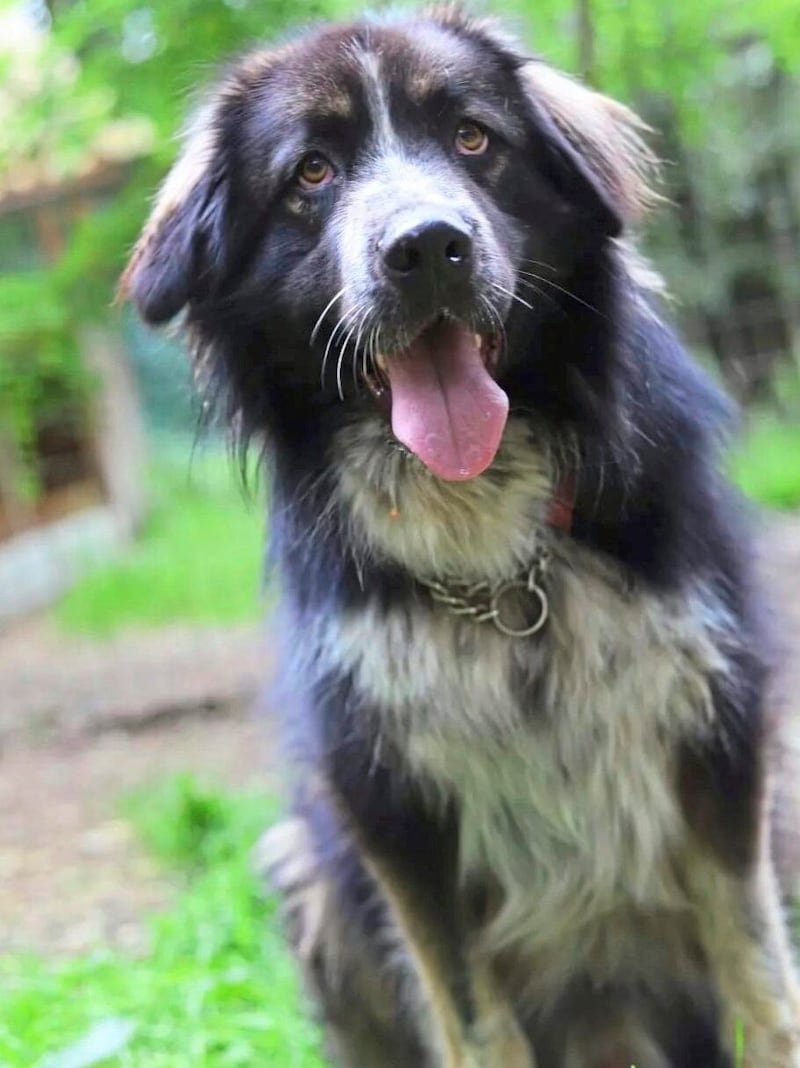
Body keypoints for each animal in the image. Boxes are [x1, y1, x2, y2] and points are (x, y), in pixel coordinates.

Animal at [118, 10, 798, 1068]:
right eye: (311, 172)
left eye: (475, 139)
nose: (428, 247)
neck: (494, 553)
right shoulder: (389, 805)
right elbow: (468, 1011)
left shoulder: (720, 726)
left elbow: (758, 972)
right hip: (307, 867)